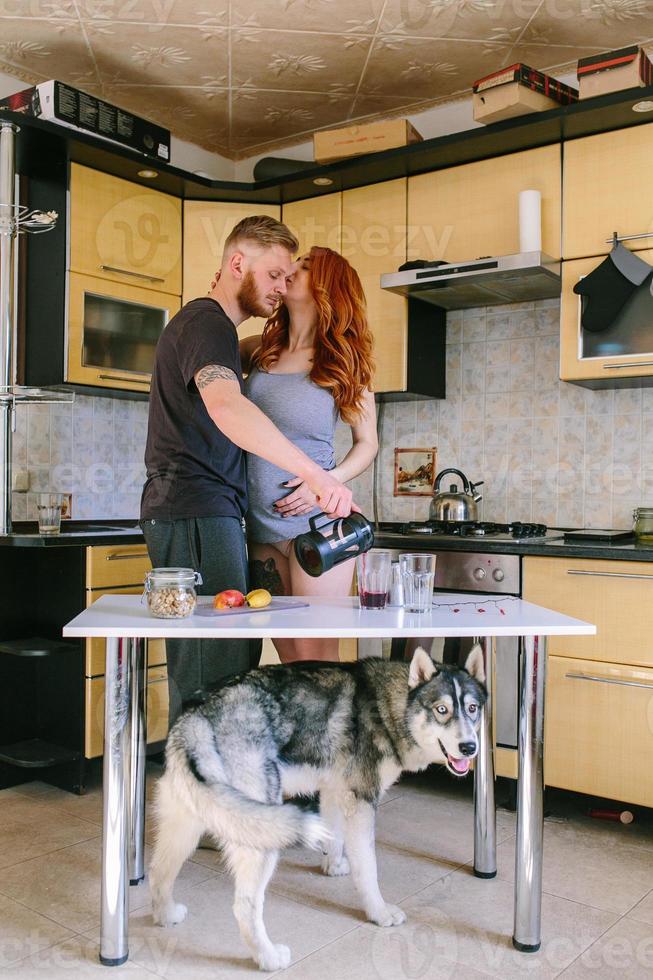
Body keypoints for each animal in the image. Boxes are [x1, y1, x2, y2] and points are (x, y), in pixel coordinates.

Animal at [149, 644, 484, 972]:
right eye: (441, 710)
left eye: (472, 709)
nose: (470, 748)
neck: (391, 706)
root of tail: (196, 718)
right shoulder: (362, 803)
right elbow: (368, 870)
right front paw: (378, 912)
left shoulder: (335, 792)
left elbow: (334, 835)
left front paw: (332, 866)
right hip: (261, 835)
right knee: (244, 906)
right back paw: (269, 958)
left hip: (187, 828)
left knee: (159, 872)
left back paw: (166, 915)